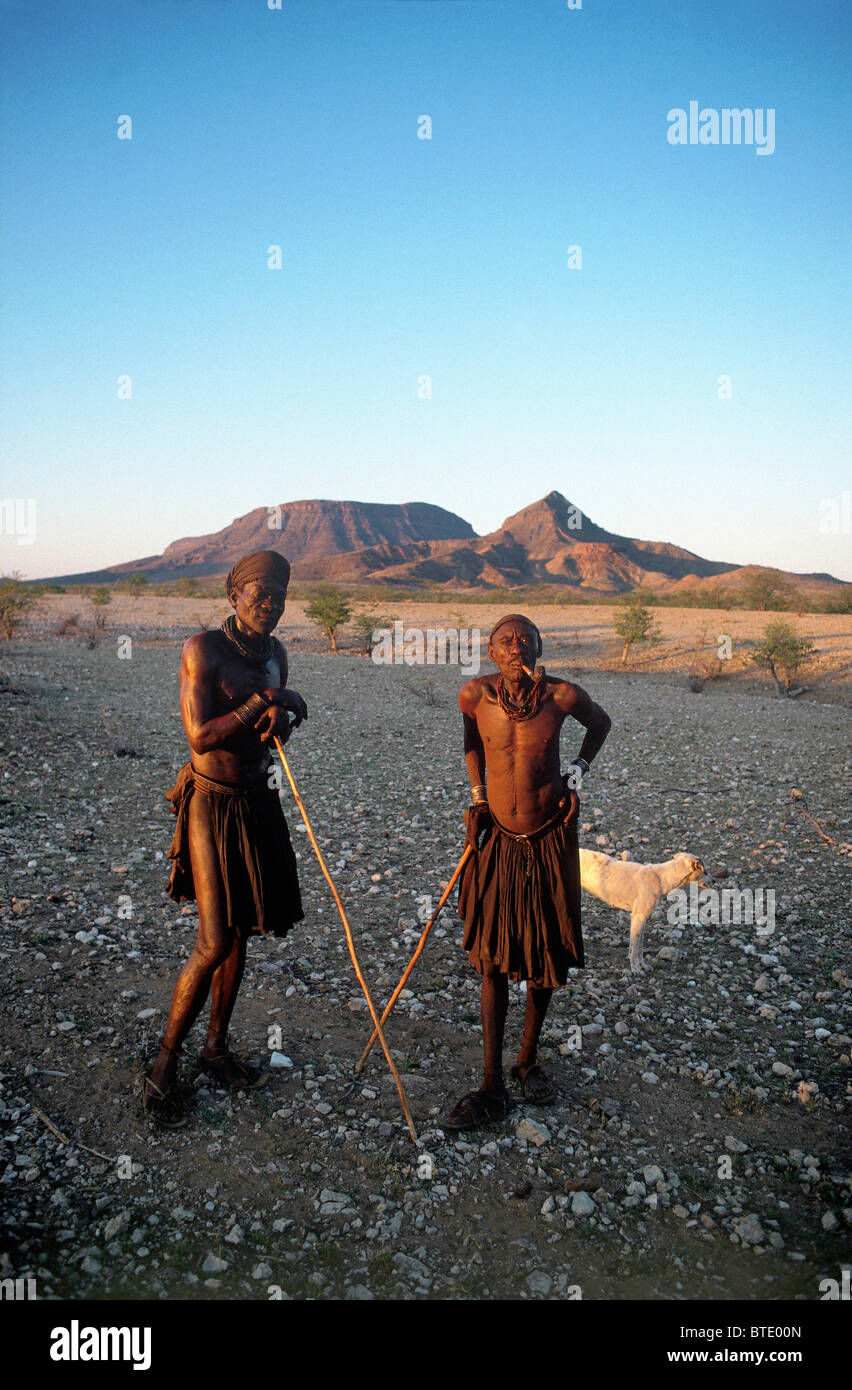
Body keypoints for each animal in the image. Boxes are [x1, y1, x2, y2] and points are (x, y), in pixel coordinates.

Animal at [575, 839, 708, 973]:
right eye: (705, 871)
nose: (713, 881)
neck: (661, 878)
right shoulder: (638, 917)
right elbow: (635, 946)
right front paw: (635, 969)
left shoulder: (641, 918)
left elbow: (638, 945)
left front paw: (642, 965)